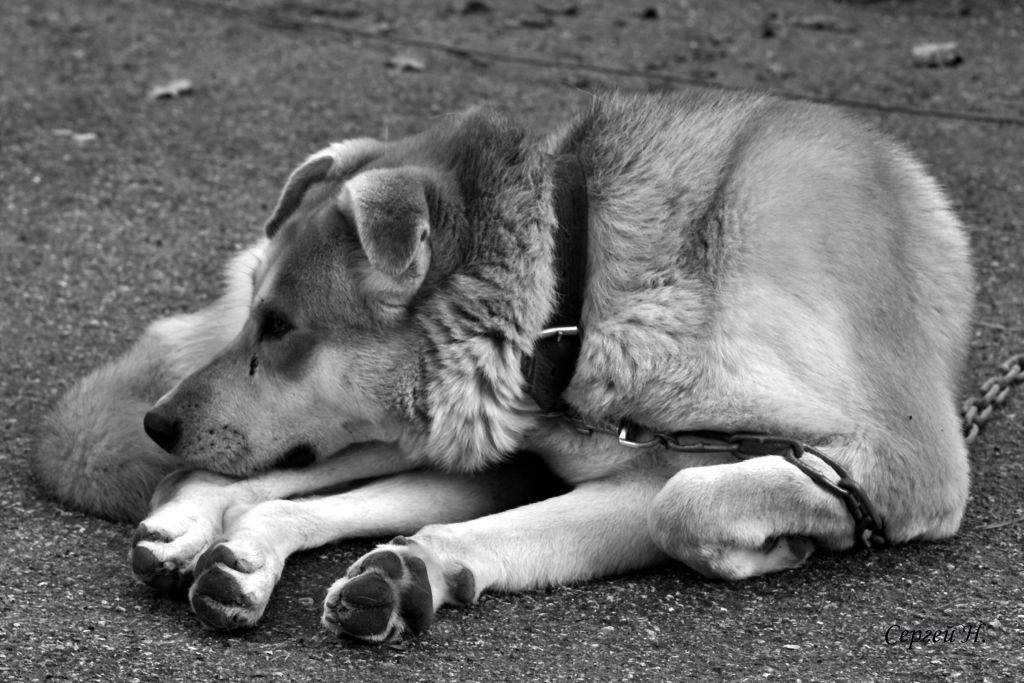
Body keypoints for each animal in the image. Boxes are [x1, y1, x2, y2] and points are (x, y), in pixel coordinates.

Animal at [34, 90, 974, 643]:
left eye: (282, 326)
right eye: (258, 317)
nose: (157, 419)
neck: (581, 290)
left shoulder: (912, 459)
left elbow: (680, 503)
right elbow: (678, 503)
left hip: (465, 449)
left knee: (286, 500)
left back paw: (253, 553)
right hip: (432, 435)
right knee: (249, 485)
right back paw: (193, 527)